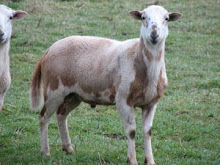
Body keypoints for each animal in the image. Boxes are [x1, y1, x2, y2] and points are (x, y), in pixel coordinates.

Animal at [30, 5, 181, 165]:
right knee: (44, 117)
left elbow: (148, 131)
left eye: (166, 19)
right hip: (53, 89)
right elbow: (131, 131)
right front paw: (132, 159)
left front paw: (150, 161)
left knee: (61, 115)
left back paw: (68, 148)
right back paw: (45, 152)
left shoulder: (151, 103)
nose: (154, 34)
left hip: (73, 94)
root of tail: (48, 51)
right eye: (143, 17)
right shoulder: (123, 99)